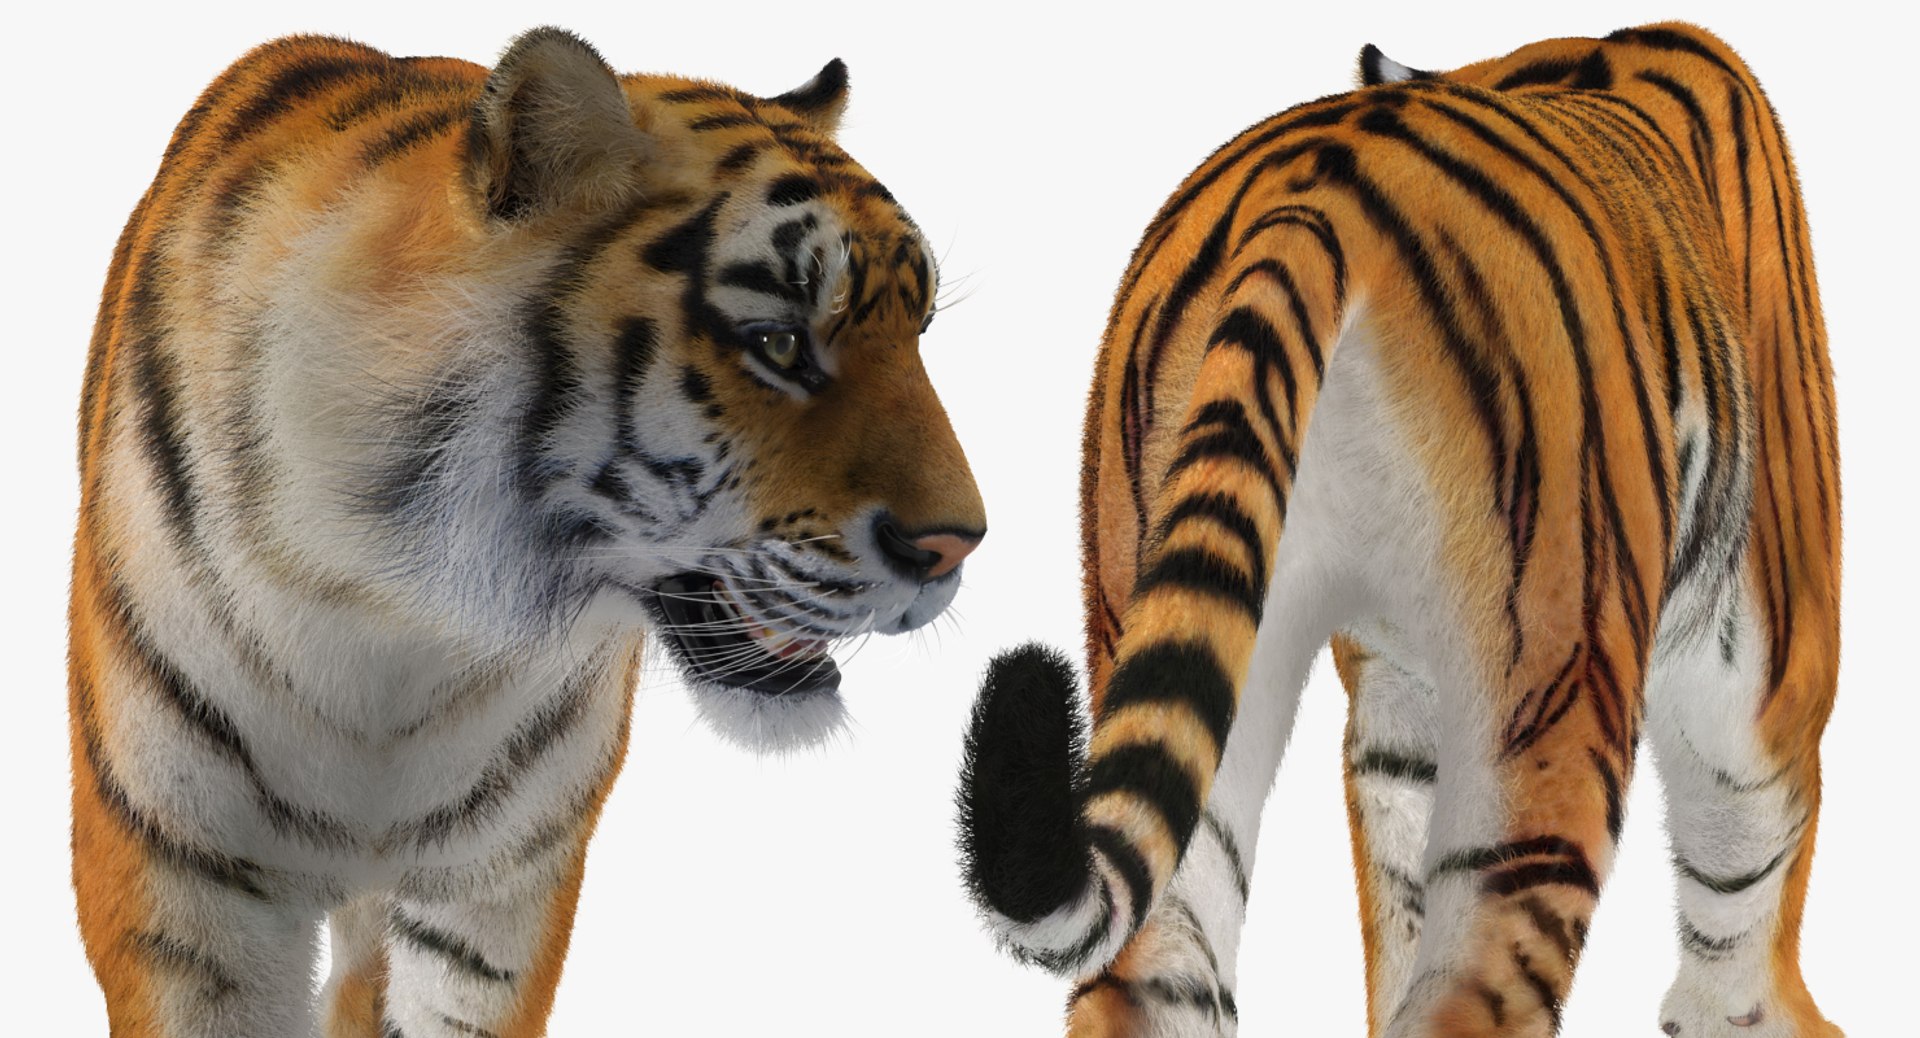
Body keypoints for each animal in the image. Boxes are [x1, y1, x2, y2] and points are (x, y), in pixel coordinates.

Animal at [70, 27, 984, 1037]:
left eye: (919, 330)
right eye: (779, 343)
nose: (959, 546)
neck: (396, 611)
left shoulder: (497, 887)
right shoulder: (180, 875)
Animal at [957, 22, 1839, 1038]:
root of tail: (1315, 194)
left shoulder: (1401, 713)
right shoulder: (1769, 663)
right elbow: (1744, 872)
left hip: (1179, 612)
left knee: (1147, 967)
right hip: (1559, 687)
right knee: (1481, 985)